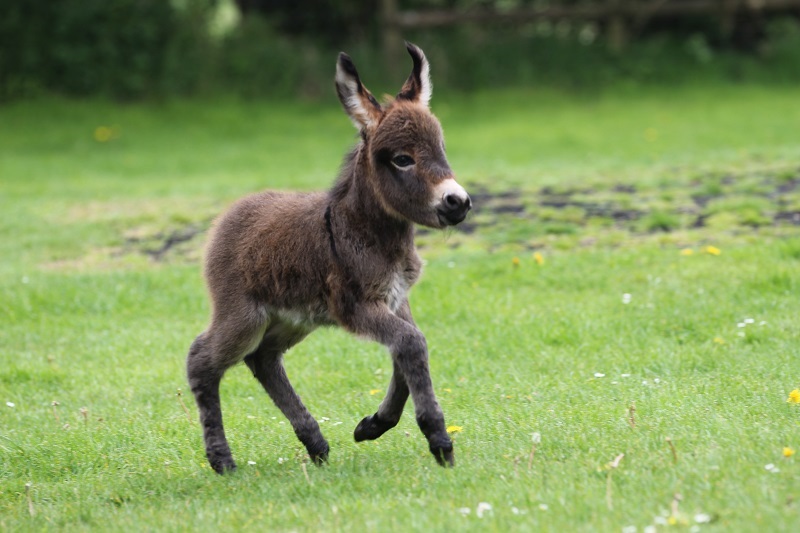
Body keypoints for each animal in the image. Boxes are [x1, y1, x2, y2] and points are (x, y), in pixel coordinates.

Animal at [187, 43, 468, 472]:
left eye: (441, 150)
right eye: (402, 159)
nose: (459, 203)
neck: (368, 232)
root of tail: (228, 216)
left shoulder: (395, 300)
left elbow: (406, 352)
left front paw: (373, 425)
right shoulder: (357, 306)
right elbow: (411, 344)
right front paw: (438, 439)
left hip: (292, 320)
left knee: (263, 360)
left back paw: (315, 443)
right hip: (244, 315)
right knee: (202, 360)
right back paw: (222, 460)